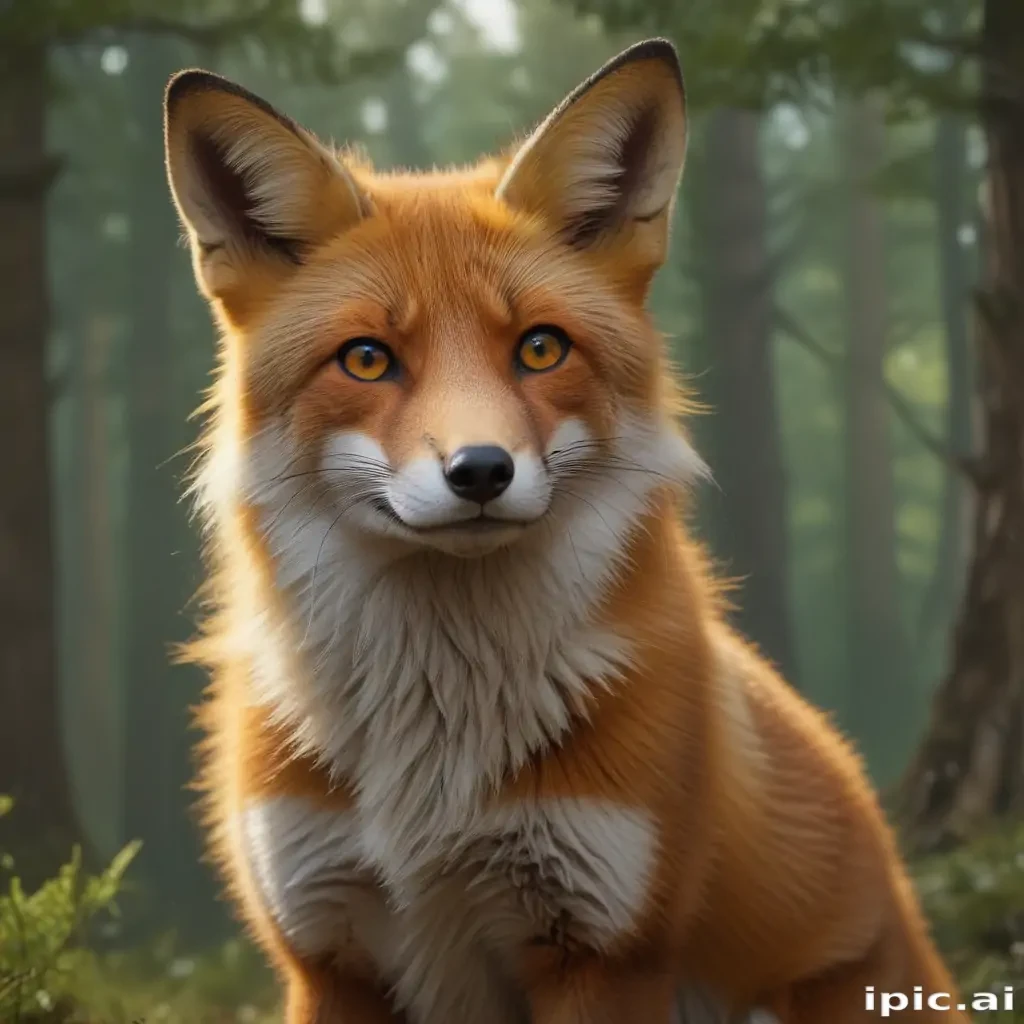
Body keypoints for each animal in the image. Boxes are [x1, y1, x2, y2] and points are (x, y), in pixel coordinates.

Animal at [163, 37, 970, 1024]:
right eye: (367, 360)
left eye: (540, 348)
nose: (480, 471)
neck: (436, 755)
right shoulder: (326, 956)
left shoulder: (605, 950)